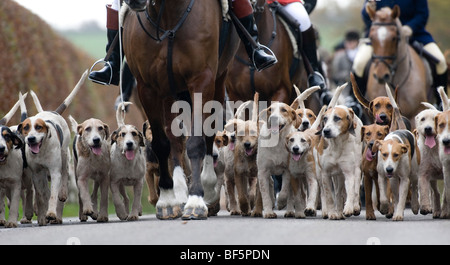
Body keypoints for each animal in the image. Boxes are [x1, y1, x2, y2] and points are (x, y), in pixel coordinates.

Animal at [119, 0, 239, 219]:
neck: (167, 16)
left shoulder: (202, 80)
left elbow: (197, 142)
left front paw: (196, 200)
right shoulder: (148, 88)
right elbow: (161, 143)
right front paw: (167, 199)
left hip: (218, 80)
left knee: (208, 132)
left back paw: (207, 189)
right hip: (169, 93)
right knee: (173, 138)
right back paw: (179, 193)